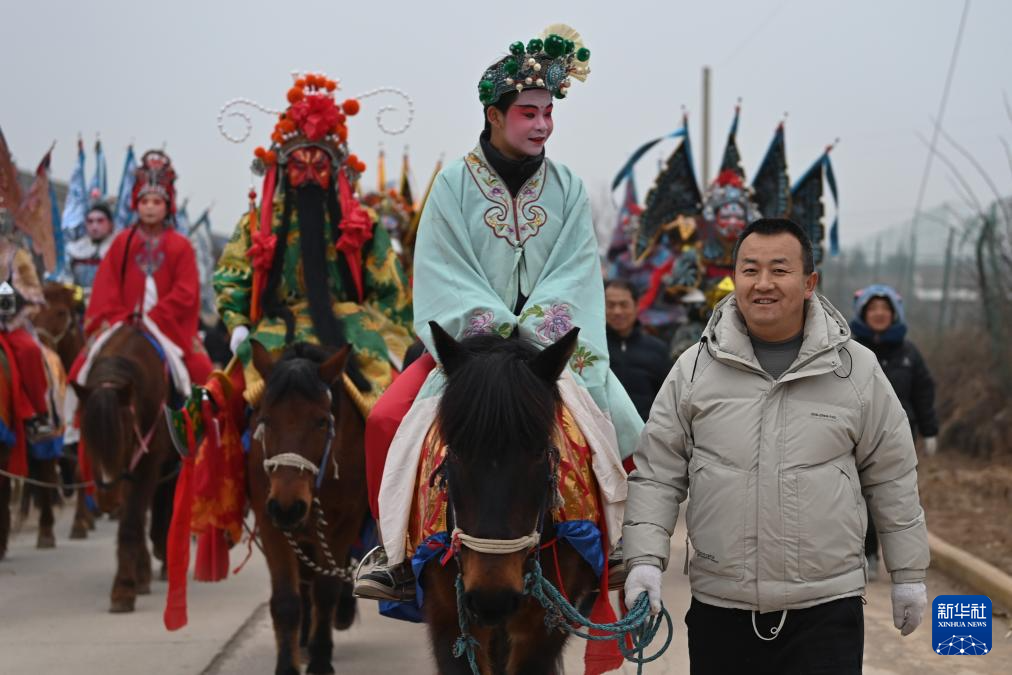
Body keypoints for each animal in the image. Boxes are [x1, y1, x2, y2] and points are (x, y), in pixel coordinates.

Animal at [71, 321, 176, 611]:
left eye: (127, 432)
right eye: (86, 433)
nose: (107, 499)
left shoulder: (147, 462)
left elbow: (131, 522)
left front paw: (123, 589)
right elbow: (134, 517)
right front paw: (137, 576)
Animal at [247, 344, 368, 675]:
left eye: (321, 422)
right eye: (266, 419)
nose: (287, 506)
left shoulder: (345, 522)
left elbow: (325, 590)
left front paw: (321, 658)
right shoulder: (270, 520)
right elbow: (286, 600)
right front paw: (287, 665)